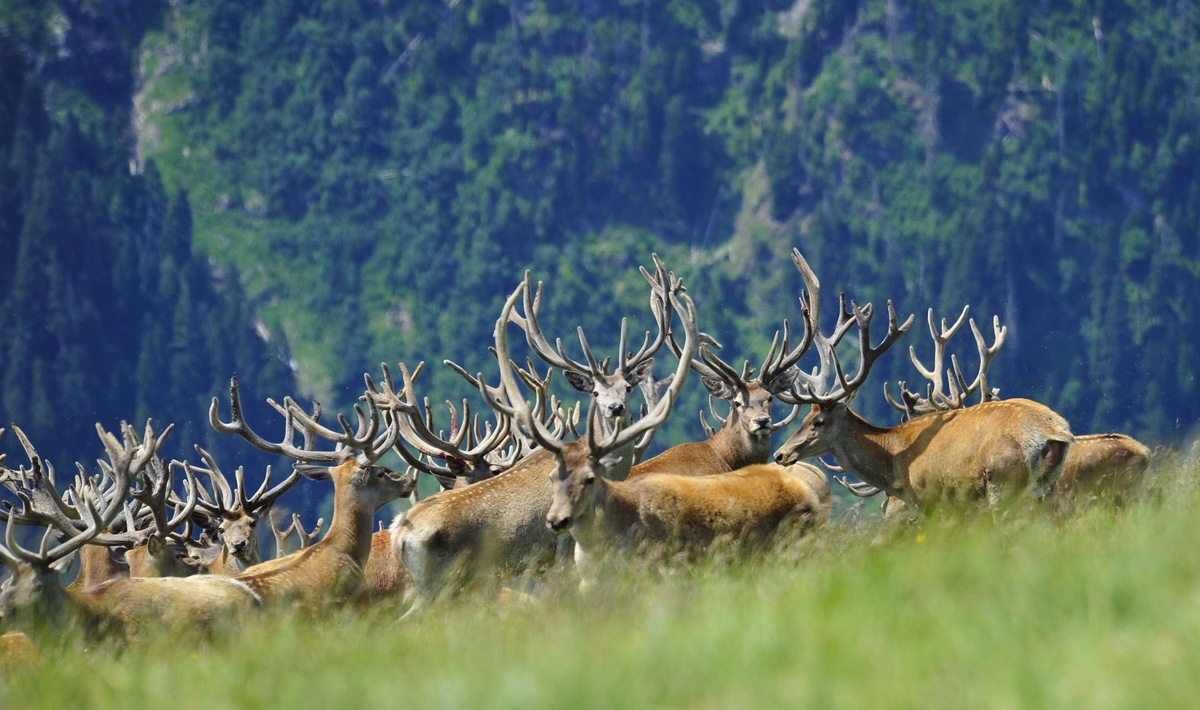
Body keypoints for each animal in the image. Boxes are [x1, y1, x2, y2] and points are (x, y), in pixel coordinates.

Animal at [772, 249, 1075, 515]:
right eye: (804, 419)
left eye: (818, 422)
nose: (780, 455)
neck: (895, 462)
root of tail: (1057, 432)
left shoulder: (931, 498)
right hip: (1043, 488)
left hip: (1002, 481)